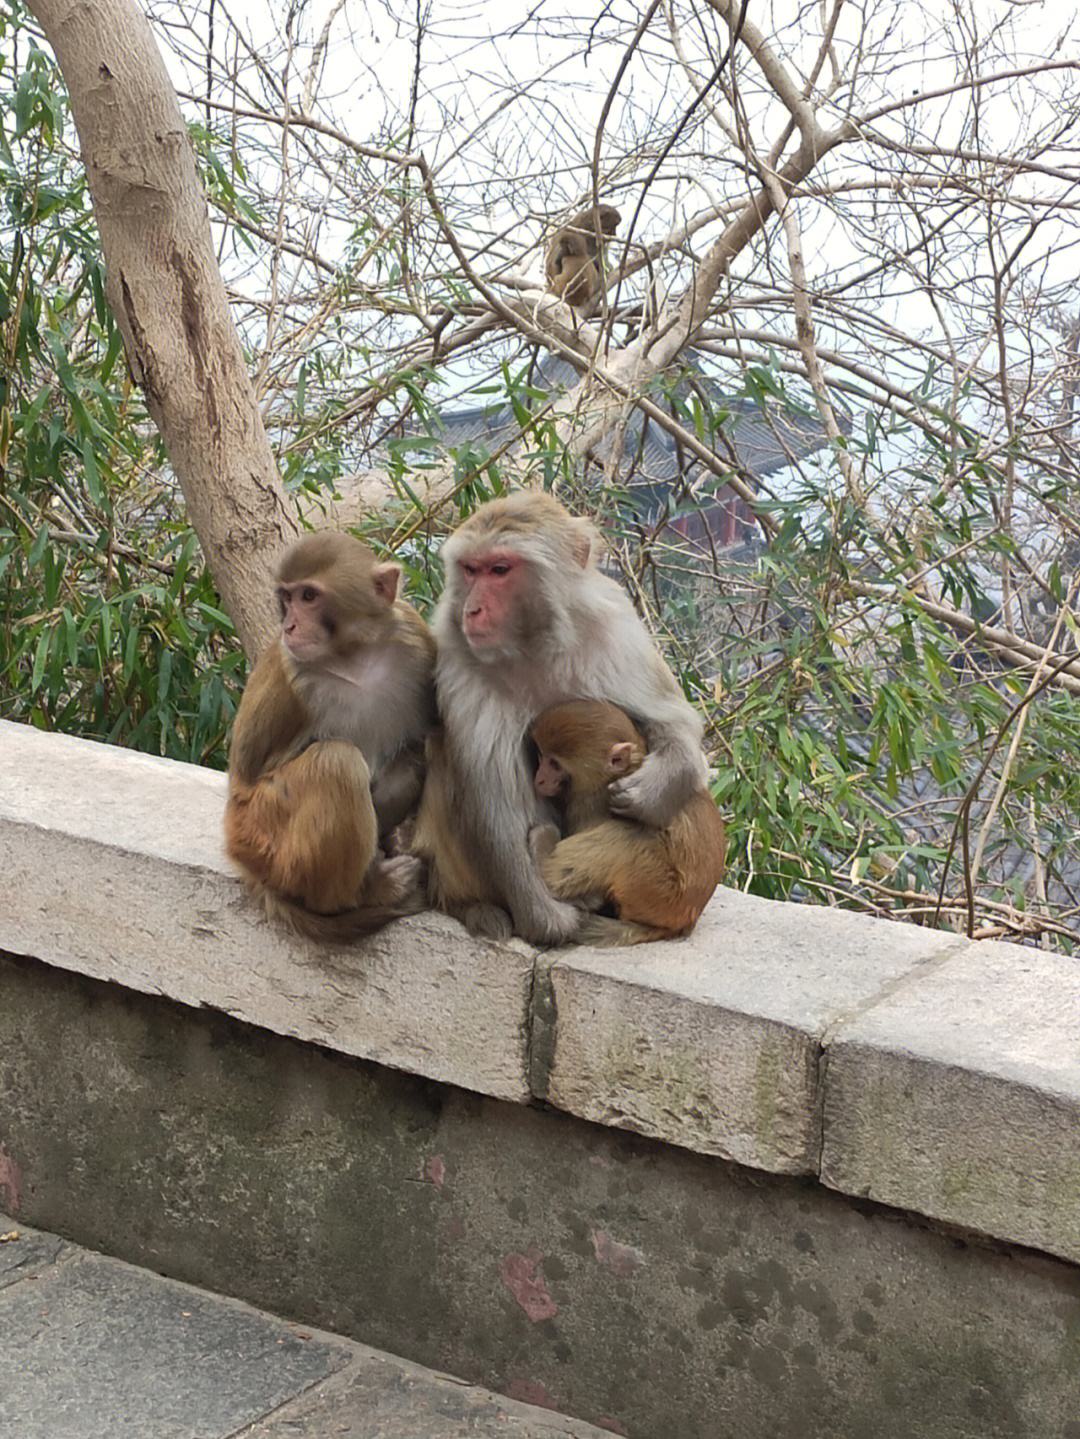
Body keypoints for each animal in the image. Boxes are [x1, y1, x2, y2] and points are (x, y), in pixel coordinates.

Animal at [225, 535, 437, 938]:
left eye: (308, 596)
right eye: (287, 597)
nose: (290, 626)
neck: (355, 656)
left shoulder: (416, 638)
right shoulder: (292, 670)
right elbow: (254, 764)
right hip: (262, 833)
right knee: (336, 762)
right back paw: (370, 891)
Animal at [529, 702, 727, 949]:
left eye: (555, 764)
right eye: (541, 755)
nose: (539, 779)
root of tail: (685, 920)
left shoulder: (592, 804)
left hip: (660, 892)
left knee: (630, 837)